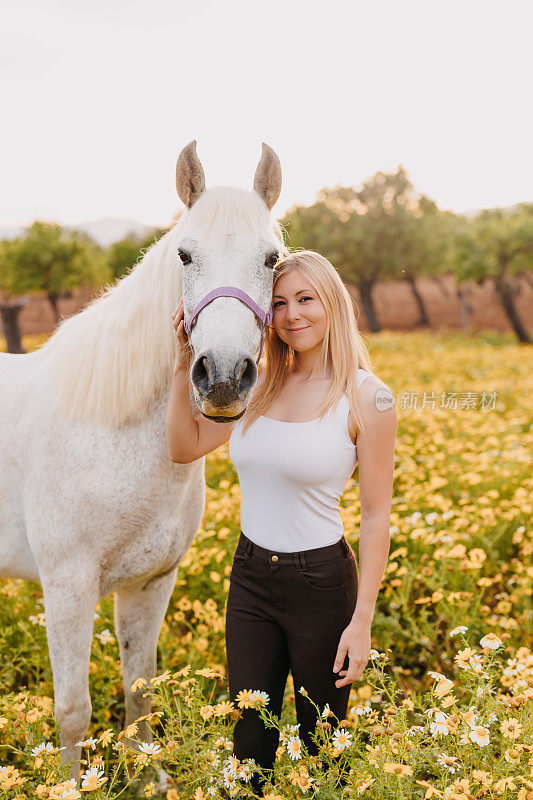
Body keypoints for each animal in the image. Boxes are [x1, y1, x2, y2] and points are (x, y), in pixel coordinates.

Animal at [0, 141, 284, 780]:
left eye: (272, 258)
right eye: (184, 254)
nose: (222, 377)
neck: (113, 431)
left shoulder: (152, 583)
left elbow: (140, 688)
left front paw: (148, 776)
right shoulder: (68, 587)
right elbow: (73, 709)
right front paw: (70, 786)